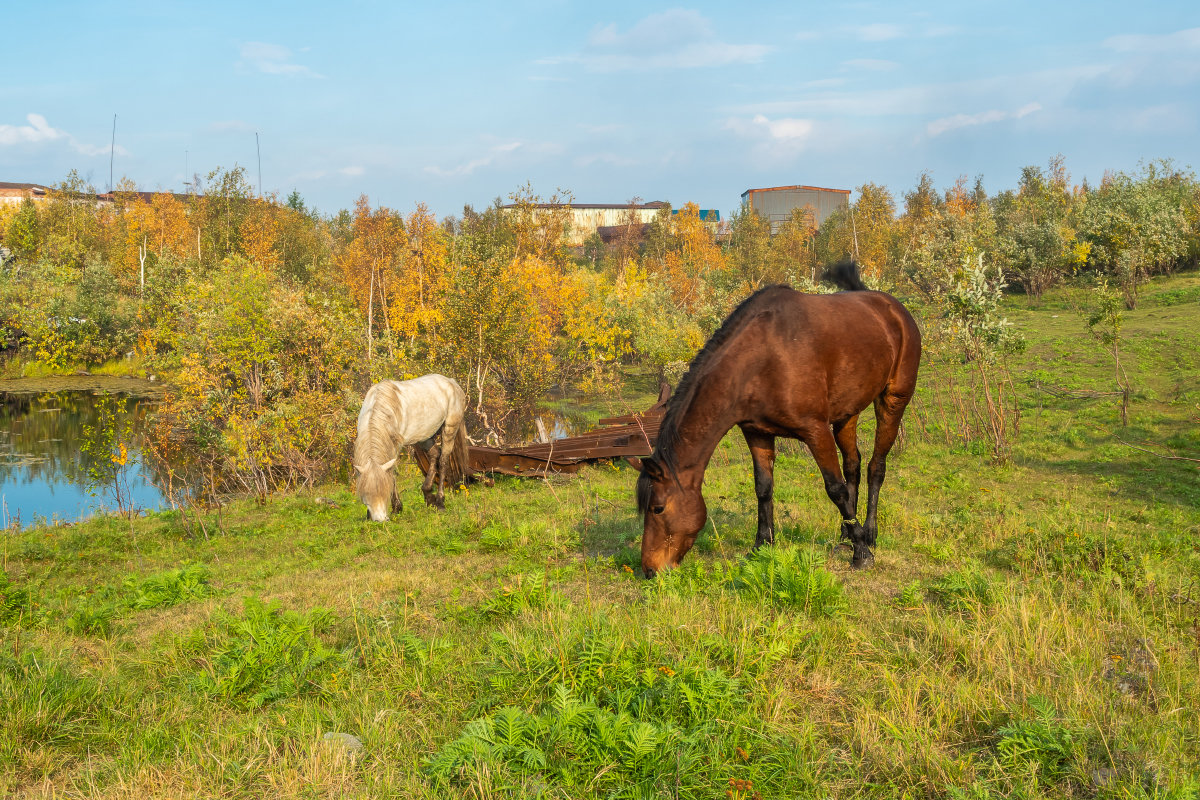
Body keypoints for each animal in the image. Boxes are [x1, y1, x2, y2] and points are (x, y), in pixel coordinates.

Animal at [350, 374, 468, 520]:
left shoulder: (395, 446)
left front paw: (396, 507)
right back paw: (428, 496)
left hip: (449, 429)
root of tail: (451, 382)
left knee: (443, 460)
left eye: (384, 491)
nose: (380, 520)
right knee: (435, 454)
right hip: (425, 437)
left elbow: (392, 474)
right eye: (365, 494)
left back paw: (440, 502)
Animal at [638, 261, 916, 575]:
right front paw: (761, 546)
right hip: (848, 413)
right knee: (853, 465)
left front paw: (862, 553)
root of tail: (890, 307)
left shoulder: (816, 431)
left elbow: (835, 489)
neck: (761, 359)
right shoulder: (757, 432)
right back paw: (845, 533)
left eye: (658, 508)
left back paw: (868, 533)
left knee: (875, 467)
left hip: (892, 401)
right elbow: (763, 488)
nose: (649, 569)